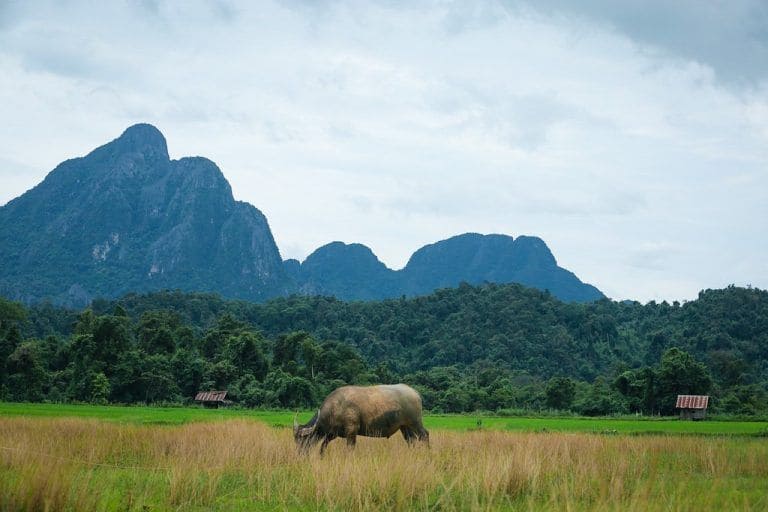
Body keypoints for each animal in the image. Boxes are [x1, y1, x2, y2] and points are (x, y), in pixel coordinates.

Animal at [292, 382, 428, 454]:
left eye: (304, 439)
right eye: (296, 440)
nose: (299, 454)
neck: (337, 406)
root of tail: (414, 392)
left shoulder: (351, 431)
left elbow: (350, 449)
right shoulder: (332, 434)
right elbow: (323, 446)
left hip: (415, 423)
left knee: (425, 435)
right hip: (405, 427)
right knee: (411, 440)